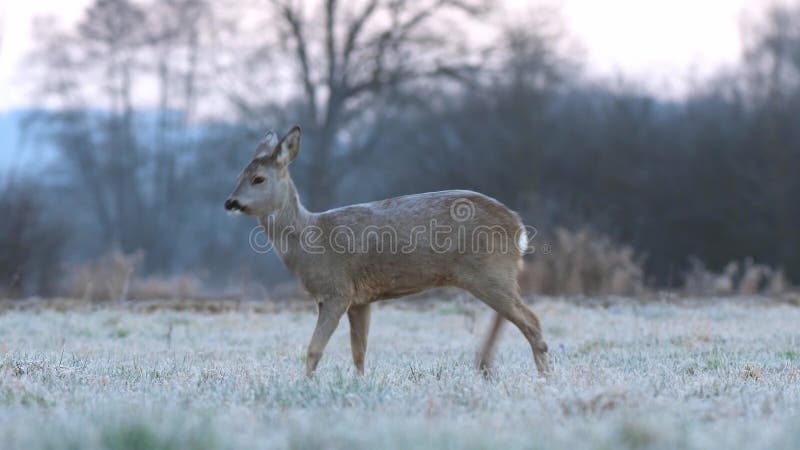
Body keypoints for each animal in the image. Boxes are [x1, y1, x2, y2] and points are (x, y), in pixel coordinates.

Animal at [225, 125, 552, 378]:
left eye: (258, 179)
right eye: (238, 176)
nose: (230, 202)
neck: (309, 239)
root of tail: (517, 225)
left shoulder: (336, 290)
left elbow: (314, 349)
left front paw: (305, 384)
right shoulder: (360, 299)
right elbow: (359, 351)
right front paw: (358, 383)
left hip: (487, 269)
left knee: (531, 321)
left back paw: (542, 377)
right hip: (495, 273)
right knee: (512, 316)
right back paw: (486, 366)